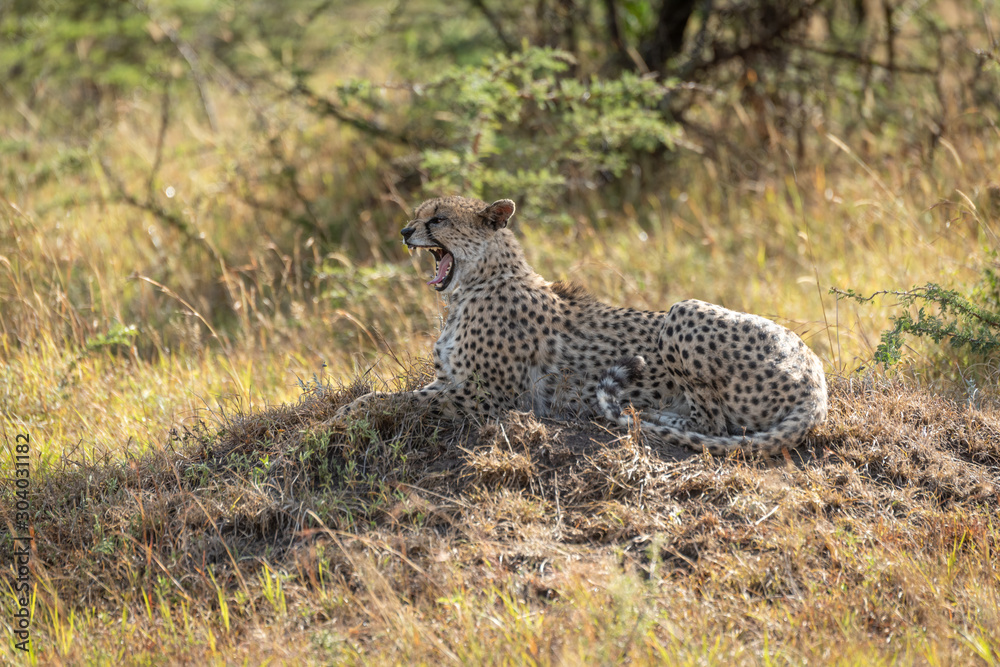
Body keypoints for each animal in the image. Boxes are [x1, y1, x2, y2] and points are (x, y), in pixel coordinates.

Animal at [337, 195, 828, 456]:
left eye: (437, 219)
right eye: (418, 214)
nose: (405, 232)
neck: (476, 283)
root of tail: (814, 374)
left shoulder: (489, 397)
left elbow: (396, 401)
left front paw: (343, 419)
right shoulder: (451, 381)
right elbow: (382, 396)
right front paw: (347, 411)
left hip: (680, 311)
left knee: (713, 424)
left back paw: (639, 415)